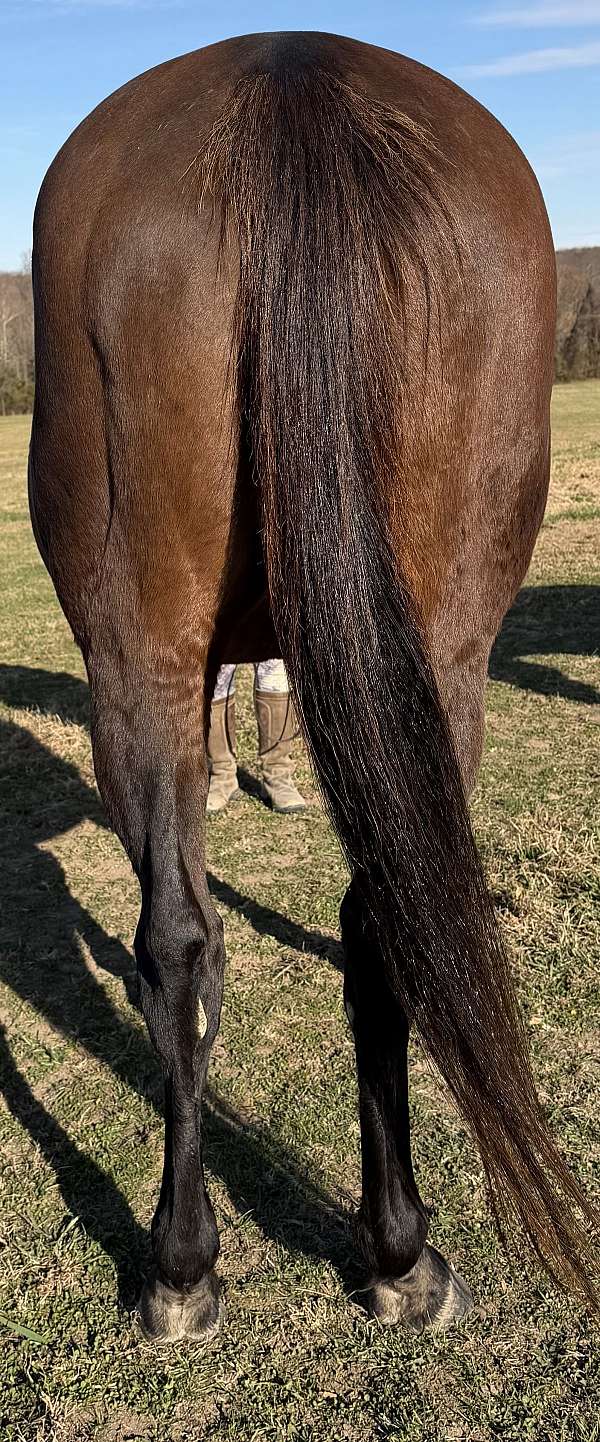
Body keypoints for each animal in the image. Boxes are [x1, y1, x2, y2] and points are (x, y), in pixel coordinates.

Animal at [28, 31, 598, 1342]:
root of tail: (289, 73)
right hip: (434, 658)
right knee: (339, 922)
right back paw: (378, 1250)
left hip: (142, 657)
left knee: (185, 941)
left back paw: (192, 1263)